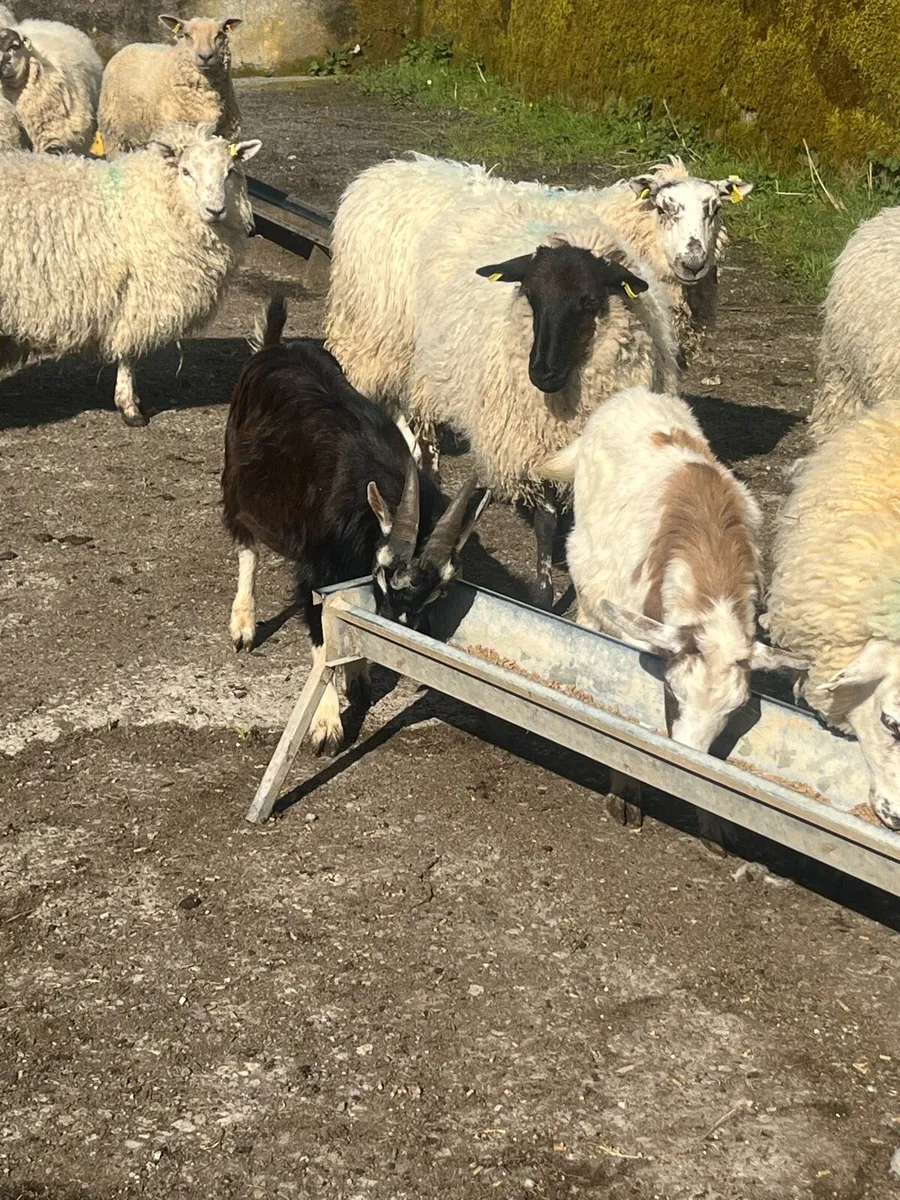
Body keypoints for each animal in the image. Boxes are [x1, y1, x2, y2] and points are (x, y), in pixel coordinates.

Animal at [222, 295, 490, 755]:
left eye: (442, 590)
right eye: (384, 572)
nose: (403, 629)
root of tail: (273, 347)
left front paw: (361, 676)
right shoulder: (318, 567)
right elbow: (323, 635)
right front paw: (327, 725)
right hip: (237, 479)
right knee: (246, 547)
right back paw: (243, 625)